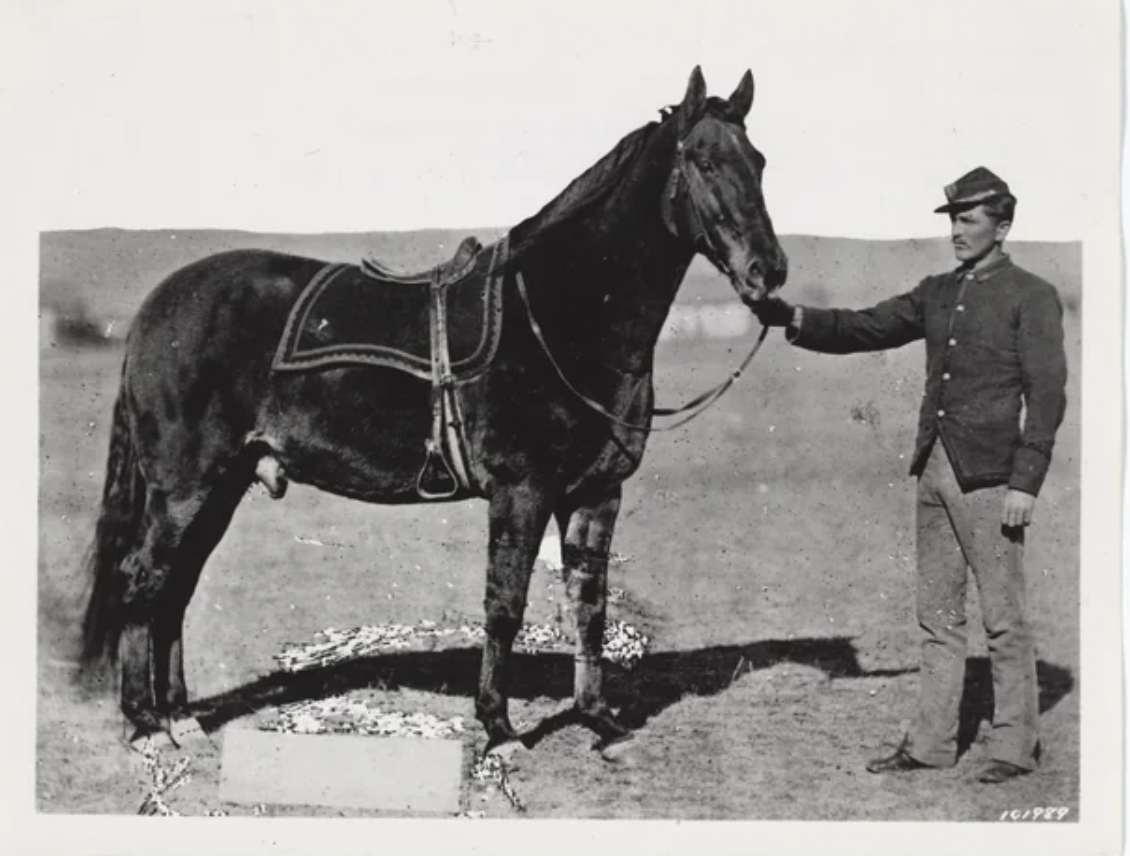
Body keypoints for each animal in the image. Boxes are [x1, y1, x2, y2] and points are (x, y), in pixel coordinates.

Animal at [77, 67, 786, 749]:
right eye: (704, 161)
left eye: (758, 160)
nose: (769, 270)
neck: (558, 315)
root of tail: (153, 311)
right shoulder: (522, 491)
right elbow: (505, 605)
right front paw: (498, 727)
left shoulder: (595, 494)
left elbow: (589, 606)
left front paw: (596, 717)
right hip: (185, 488)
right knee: (143, 579)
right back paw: (145, 724)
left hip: (221, 486)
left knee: (174, 590)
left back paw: (181, 716)